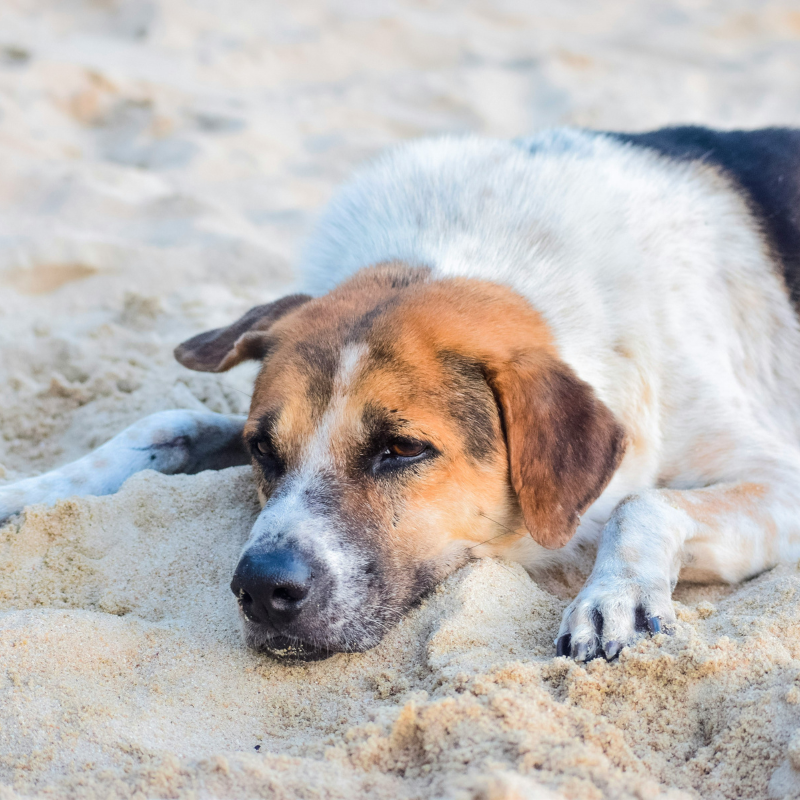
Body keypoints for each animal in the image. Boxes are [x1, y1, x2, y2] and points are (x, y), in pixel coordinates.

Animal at [1, 126, 800, 664]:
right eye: (263, 450)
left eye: (402, 450)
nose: (260, 590)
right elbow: (163, 423)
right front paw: (28, 493)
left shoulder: (778, 476)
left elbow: (645, 502)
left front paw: (616, 597)